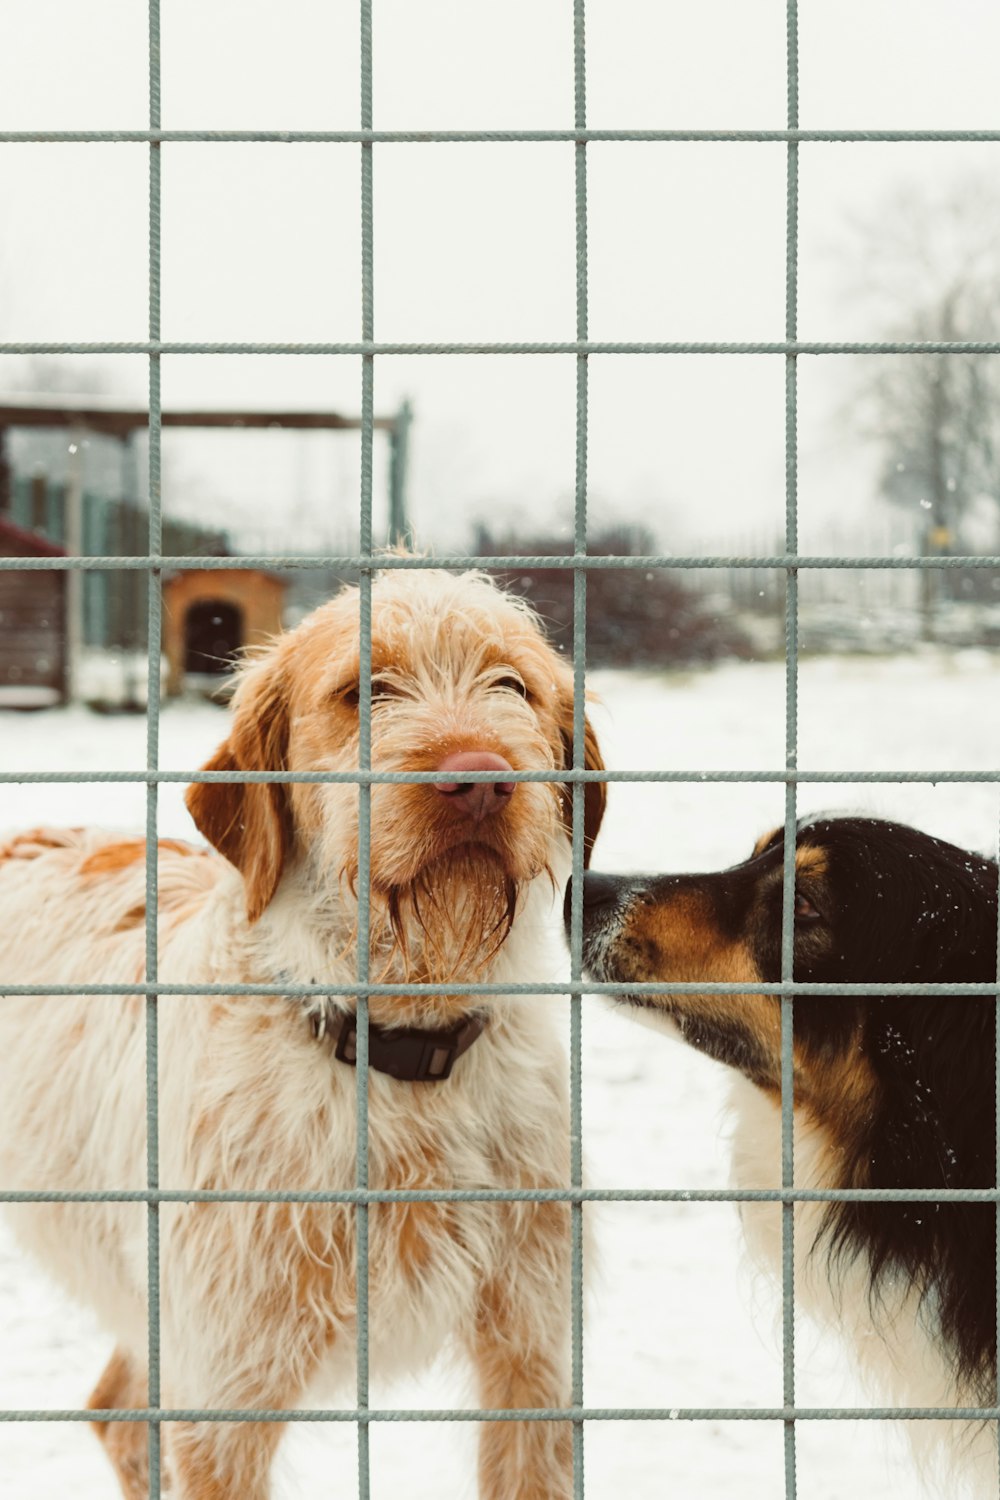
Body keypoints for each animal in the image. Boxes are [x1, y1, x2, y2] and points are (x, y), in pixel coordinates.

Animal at [0, 567, 602, 1494]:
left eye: (513, 686)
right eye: (365, 691)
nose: (479, 780)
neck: (398, 1049)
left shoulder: (534, 1364)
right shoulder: (226, 1400)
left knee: (117, 1413)